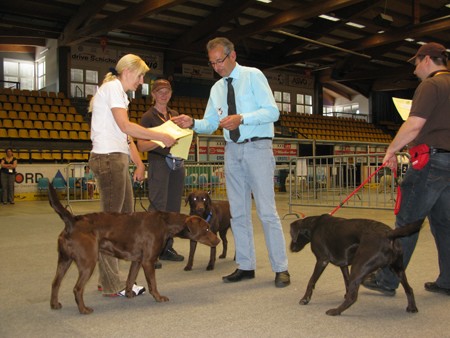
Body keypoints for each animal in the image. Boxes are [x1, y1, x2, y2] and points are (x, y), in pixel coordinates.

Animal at [48, 185, 221, 314]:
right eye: (206, 229)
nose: (218, 240)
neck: (165, 223)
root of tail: (72, 222)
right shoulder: (148, 261)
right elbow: (153, 284)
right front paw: (159, 298)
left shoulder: (137, 260)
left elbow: (130, 279)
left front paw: (129, 294)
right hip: (88, 262)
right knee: (77, 288)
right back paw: (83, 309)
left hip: (64, 260)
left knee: (55, 283)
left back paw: (54, 304)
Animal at [288, 215, 422, 316]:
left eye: (291, 235)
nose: (290, 248)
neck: (314, 226)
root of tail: (389, 234)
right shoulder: (343, 265)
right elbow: (347, 282)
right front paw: (345, 293)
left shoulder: (322, 260)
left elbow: (311, 281)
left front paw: (305, 299)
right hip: (397, 268)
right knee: (409, 289)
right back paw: (412, 308)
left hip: (359, 266)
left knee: (353, 297)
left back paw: (335, 311)